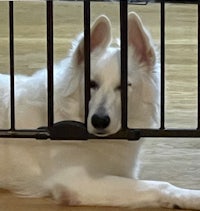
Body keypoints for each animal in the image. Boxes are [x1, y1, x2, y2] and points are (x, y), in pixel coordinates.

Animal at [0, 12, 200, 209]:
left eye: (124, 86)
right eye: (91, 84)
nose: (99, 121)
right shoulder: (79, 180)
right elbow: (160, 185)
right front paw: (192, 196)